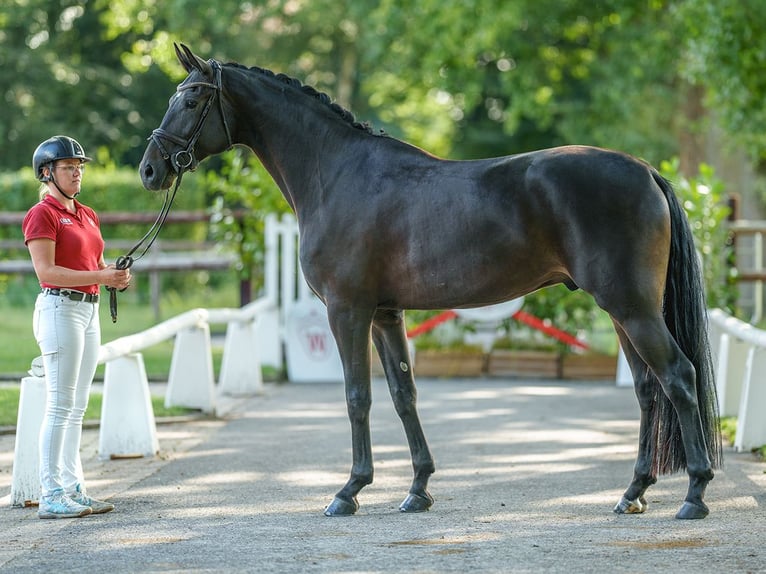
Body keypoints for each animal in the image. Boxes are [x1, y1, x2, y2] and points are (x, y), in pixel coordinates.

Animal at [140, 45, 728, 520]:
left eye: (192, 99)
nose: (149, 170)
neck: (337, 174)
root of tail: (645, 171)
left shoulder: (347, 310)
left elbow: (357, 396)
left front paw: (349, 491)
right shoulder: (385, 313)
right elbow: (404, 394)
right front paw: (417, 489)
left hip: (633, 309)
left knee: (679, 376)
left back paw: (695, 494)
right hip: (622, 312)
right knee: (648, 389)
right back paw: (633, 493)